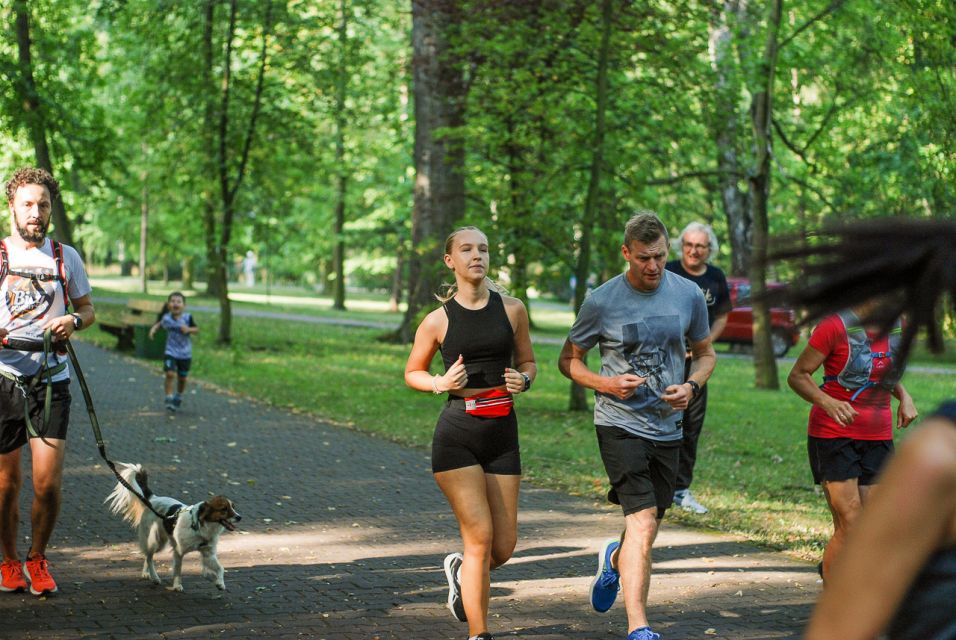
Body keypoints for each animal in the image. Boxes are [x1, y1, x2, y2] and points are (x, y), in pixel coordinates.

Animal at [102, 460, 239, 592]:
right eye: (224, 509)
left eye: (233, 507)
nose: (239, 517)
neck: (200, 527)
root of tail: (153, 499)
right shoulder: (179, 552)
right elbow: (178, 571)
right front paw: (177, 586)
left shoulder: (208, 553)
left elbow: (220, 568)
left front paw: (218, 582)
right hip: (156, 542)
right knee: (149, 557)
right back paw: (154, 577)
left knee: (147, 556)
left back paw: (146, 574)